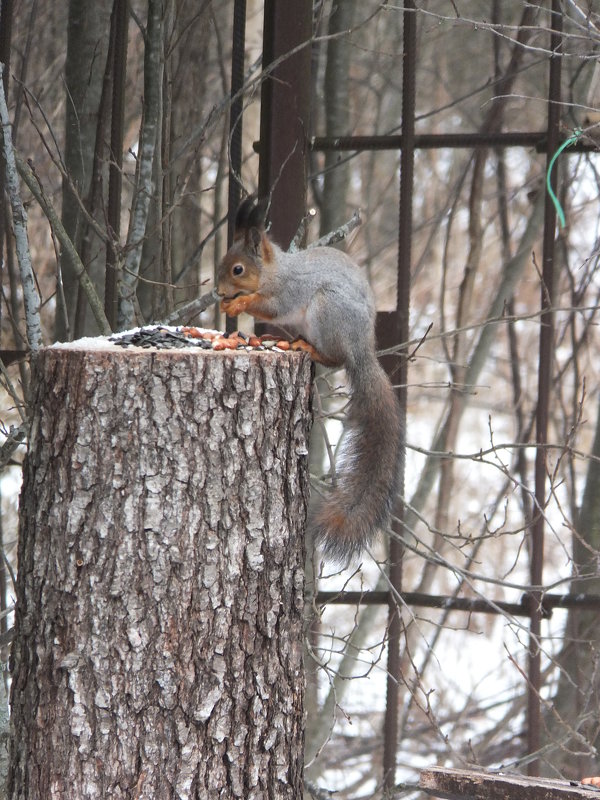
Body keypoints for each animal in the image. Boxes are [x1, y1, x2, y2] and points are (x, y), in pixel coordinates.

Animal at [216, 195, 404, 564]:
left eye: (238, 270)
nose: (217, 291)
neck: (275, 272)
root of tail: (362, 349)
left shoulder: (289, 293)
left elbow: (269, 307)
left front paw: (239, 304)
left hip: (326, 309)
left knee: (335, 358)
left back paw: (308, 348)